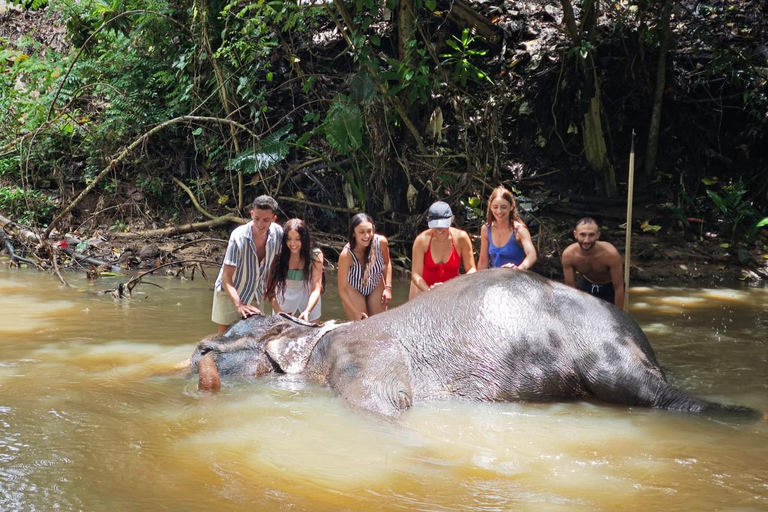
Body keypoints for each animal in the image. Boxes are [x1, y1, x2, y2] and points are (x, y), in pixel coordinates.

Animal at [186, 270, 760, 418]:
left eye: (210, 351)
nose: (196, 350)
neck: (312, 336)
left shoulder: (364, 350)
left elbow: (384, 405)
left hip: (606, 355)